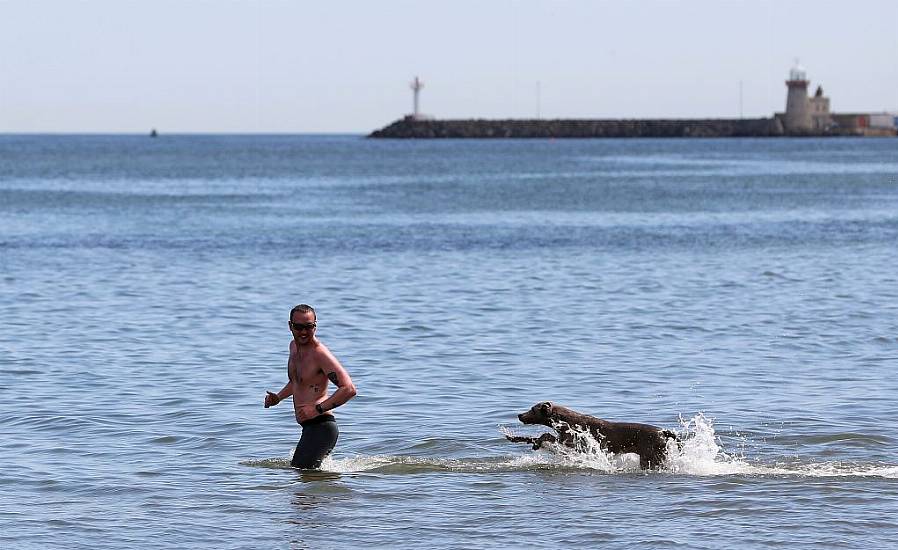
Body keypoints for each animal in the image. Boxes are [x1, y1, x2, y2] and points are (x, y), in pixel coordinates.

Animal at [508, 402, 676, 470]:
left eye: (532, 409)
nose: (519, 415)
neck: (565, 420)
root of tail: (663, 431)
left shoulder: (572, 442)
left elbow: (546, 435)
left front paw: (537, 442)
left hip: (650, 457)